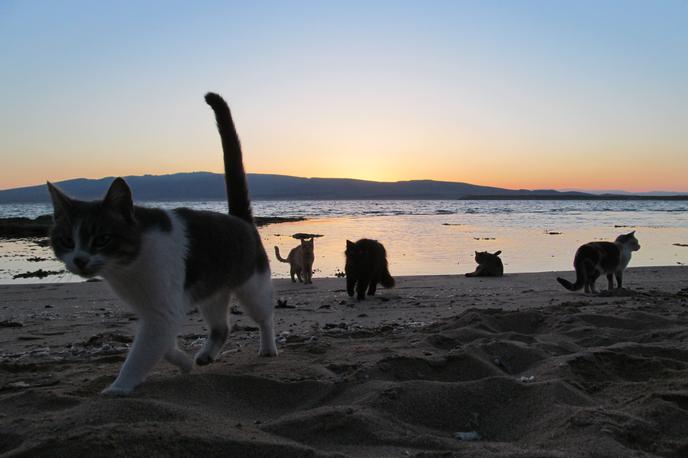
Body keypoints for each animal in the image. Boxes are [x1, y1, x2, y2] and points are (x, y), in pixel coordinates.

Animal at [45, 92, 278, 394]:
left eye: (101, 239)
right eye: (66, 240)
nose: (80, 260)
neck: (128, 267)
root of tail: (240, 219)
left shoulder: (162, 311)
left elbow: (140, 354)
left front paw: (118, 388)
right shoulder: (157, 312)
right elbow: (162, 346)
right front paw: (184, 362)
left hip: (252, 287)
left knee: (265, 317)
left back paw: (268, 348)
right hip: (210, 291)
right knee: (221, 327)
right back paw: (205, 355)